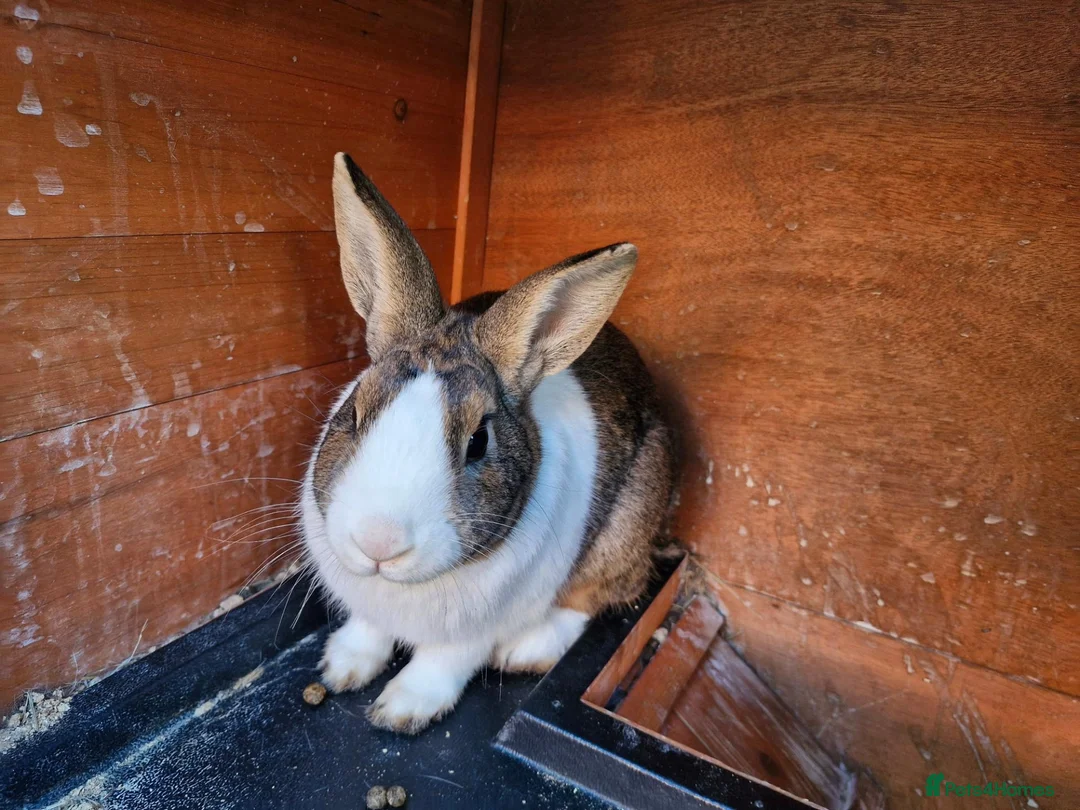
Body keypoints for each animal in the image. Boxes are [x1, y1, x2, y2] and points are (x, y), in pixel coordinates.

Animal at [300, 152, 675, 734]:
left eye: (478, 442)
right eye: (355, 413)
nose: (378, 543)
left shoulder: (473, 632)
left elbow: (446, 661)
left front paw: (401, 710)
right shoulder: (367, 604)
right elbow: (367, 630)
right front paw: (342, 666)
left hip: (627, 523)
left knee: (592, 599)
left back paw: (525, 651)